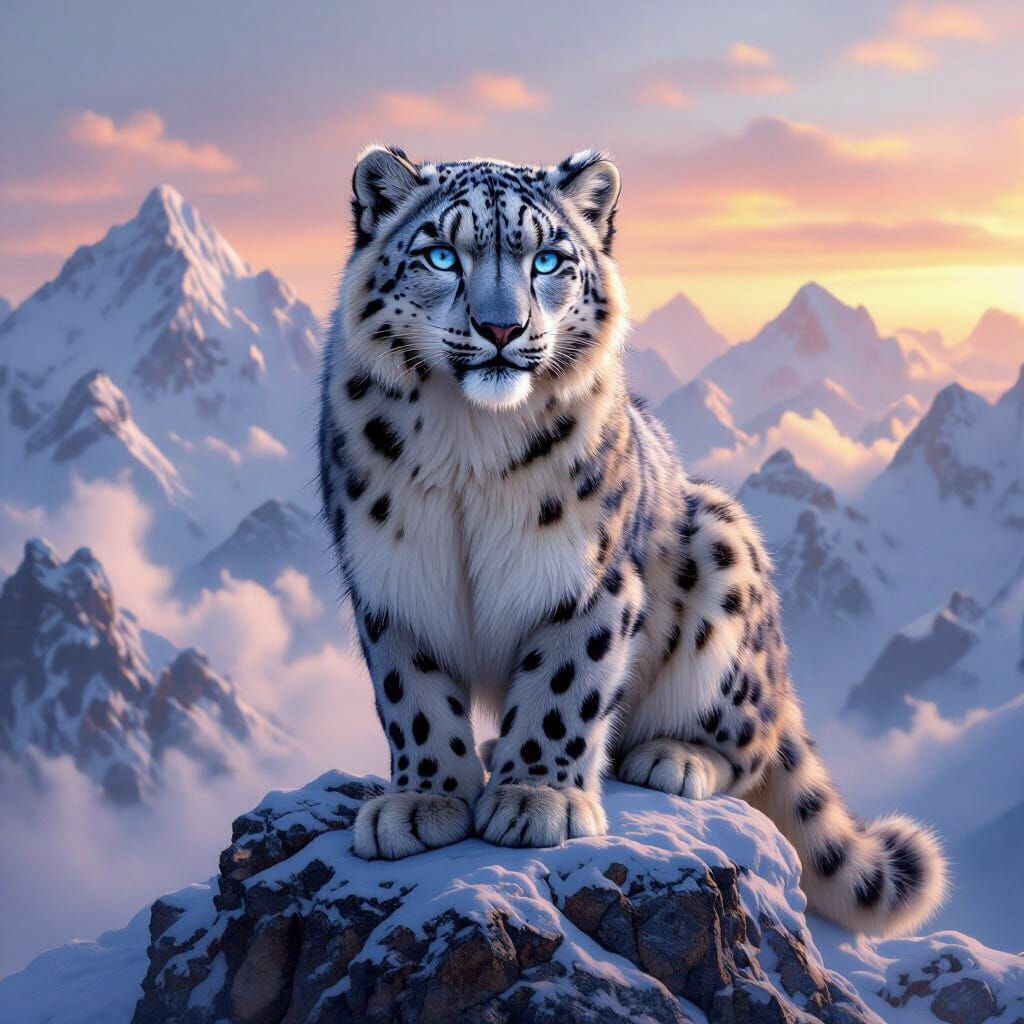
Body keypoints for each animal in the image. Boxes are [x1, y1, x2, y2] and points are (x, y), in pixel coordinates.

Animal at [317, 145, 947, 935]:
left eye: (548, 259)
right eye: (440, 254)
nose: (502, 329)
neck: (469, 444)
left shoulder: (587, 575)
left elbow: (565, 684)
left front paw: (538, 797)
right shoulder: (390, 575)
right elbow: (413, 695)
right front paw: (422, 799)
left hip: (725, 553)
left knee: (749, 746)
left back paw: (673, 758)